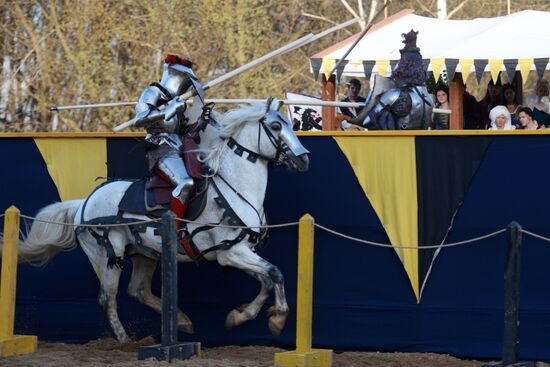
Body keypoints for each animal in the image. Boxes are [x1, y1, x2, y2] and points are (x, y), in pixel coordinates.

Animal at [3, 99, 310, 344]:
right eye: (275, 126)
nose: (304, 159)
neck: (234, 186)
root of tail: (83, 204)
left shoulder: (241, 252)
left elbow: (267, 280)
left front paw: (241, 316)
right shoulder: (231, 253)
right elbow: (276, 273)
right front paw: (277, 320)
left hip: (145, 254)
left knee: (137, 290)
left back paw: (181, 321)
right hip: (108, 255)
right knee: (108, 299)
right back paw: (125, 341)